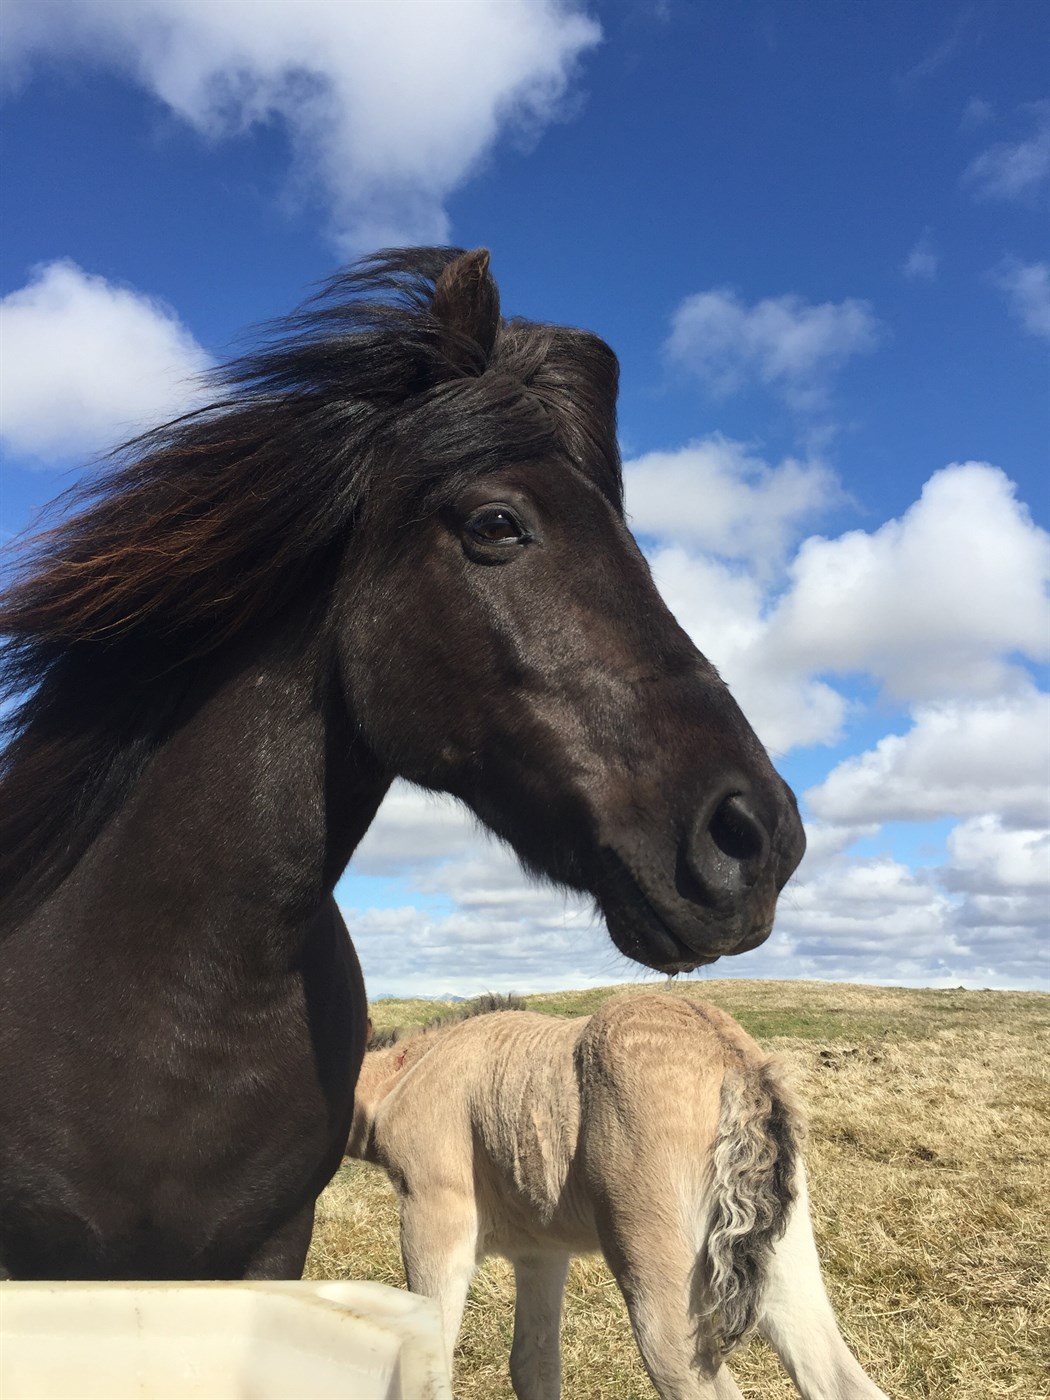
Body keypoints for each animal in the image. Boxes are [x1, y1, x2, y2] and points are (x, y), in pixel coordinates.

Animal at [348, 994, 890, 1400]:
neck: (404, 1076)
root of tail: (734, 1060)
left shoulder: (433, 1214)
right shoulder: (540, 1251)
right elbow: (533, 1363)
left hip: (657, 1274)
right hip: (785, 1256)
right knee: (838, 1377)